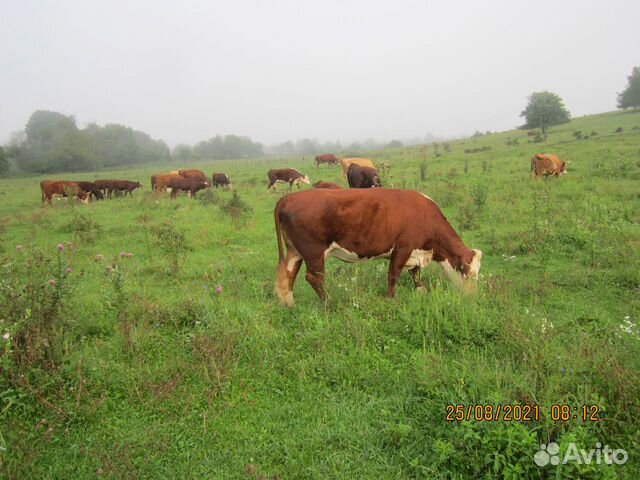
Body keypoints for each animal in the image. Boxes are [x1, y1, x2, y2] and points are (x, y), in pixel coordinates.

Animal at [272, 188, 482, 306]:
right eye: (469, 274)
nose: (473, 296)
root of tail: (288, 198)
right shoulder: (402, 248)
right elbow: (393, 275)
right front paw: (390, 299)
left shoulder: (414, 253)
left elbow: (415, 274)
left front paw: (422, 291)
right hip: (314, 252)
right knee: (314, 278)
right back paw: (329, 303)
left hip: (295, 251)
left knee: (289, 274)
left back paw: (289, 304)